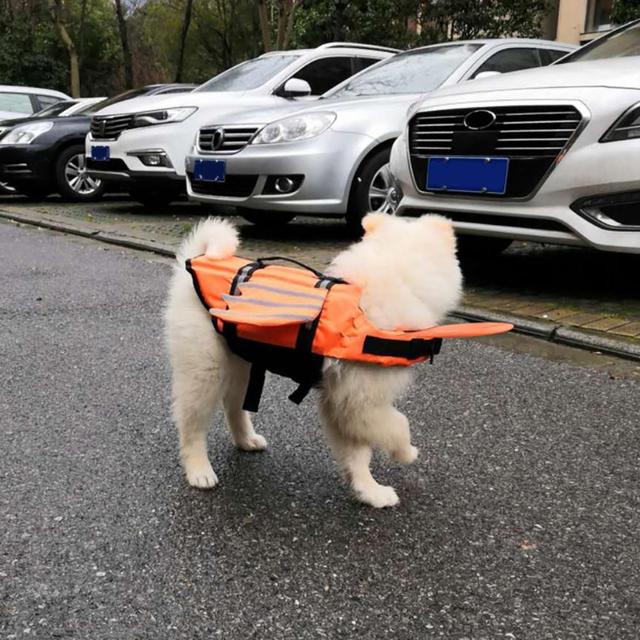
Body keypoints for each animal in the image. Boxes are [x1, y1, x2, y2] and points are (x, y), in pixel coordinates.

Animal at [165, 212, 462, 508]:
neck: (396, 277)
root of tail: (195, 259)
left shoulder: (342, 400)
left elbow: (358, 454)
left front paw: (369, 490)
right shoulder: (362, 401)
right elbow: (398, 425)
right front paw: (406, 453)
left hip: (242, 363)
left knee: (234, 406)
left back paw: (247, 440)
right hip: (204, 369)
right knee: (191, 423)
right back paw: (199, 470)